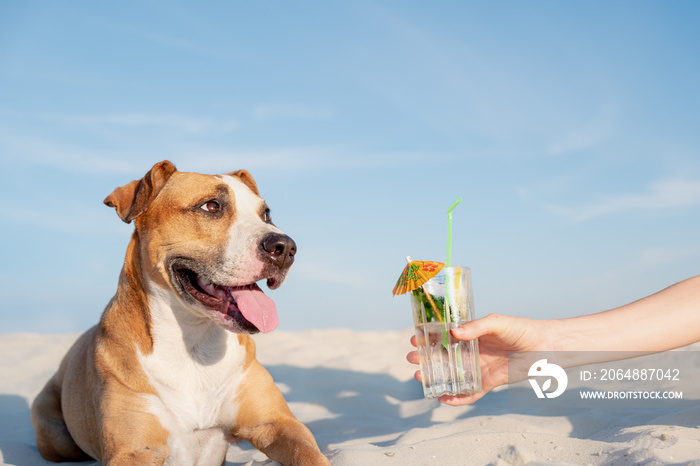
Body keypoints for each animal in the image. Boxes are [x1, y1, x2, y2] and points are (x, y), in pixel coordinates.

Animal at [30, 161, 330, 466]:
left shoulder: (278, 423)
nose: (285, 248)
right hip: (53, 433)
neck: (195, 343)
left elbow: (309, 454)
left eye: (266, 214)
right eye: (211, 206)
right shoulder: (133, 450)